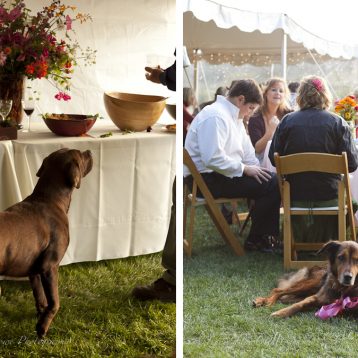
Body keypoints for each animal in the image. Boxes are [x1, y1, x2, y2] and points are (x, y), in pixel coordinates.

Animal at [0, 148, 93, 338]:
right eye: (81, 155)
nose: (90, 151)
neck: (49, 199)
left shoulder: (33, 270)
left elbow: (40, 298)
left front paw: (40, 317)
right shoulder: (49, 266)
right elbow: (55, 302)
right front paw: (42, 328)